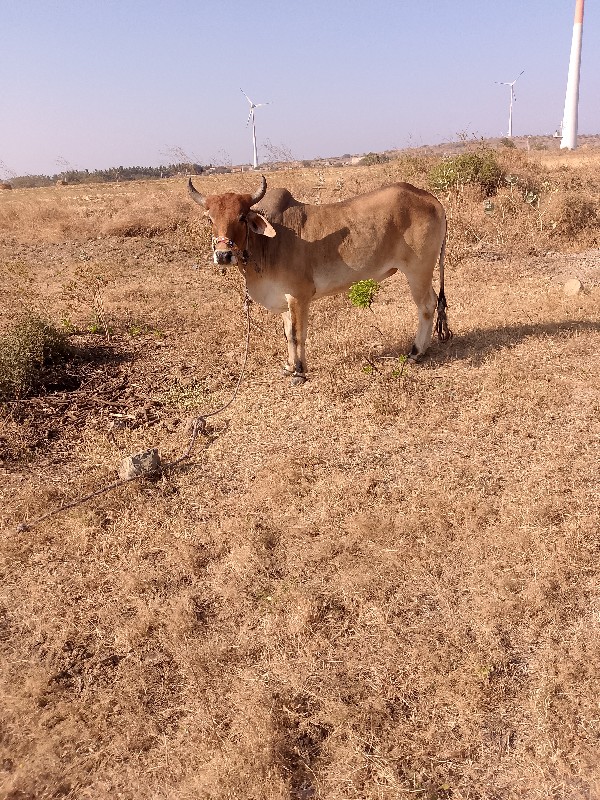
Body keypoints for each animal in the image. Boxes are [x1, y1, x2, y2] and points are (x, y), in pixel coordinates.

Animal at [188, 176, 450, 388]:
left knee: (426, 307)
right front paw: (289, 366)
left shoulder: (299, 296)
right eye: (210, 219)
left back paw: (416, 352)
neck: (268, 244)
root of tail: (430, 199)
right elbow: (288, 334)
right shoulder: (285, 300)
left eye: (242, 217)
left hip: (417, 271)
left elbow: (298, 335)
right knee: (434, 302)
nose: (223, 255)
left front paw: (300, 372)